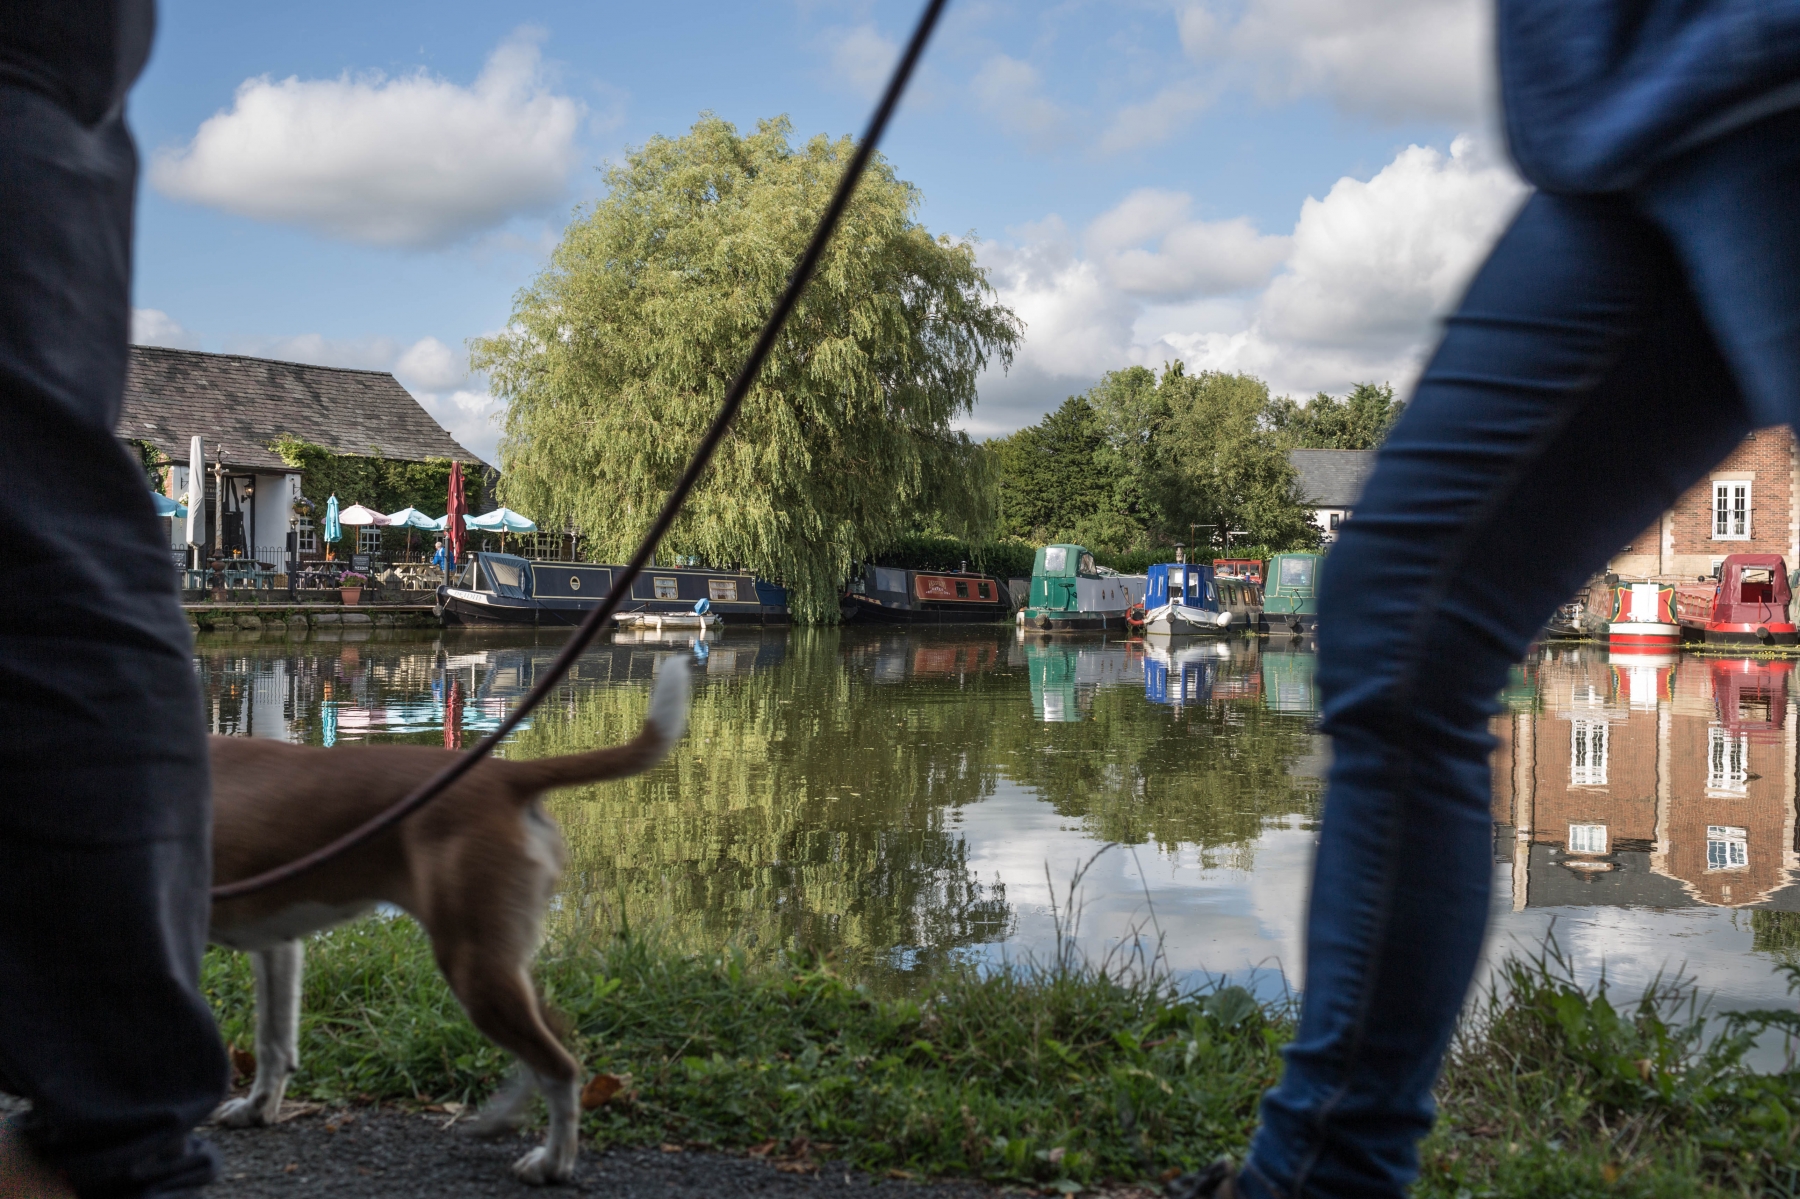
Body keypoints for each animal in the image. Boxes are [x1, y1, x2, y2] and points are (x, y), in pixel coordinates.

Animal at [206, 655, 687, 1173]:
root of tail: (505, 775)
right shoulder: (275, 943)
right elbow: (273, 1043)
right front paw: (257, 1108)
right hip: (497, 960)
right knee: (555, 1038)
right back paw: (504, 1120)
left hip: (472, 963)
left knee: (559, 1065)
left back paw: (552, 1162)